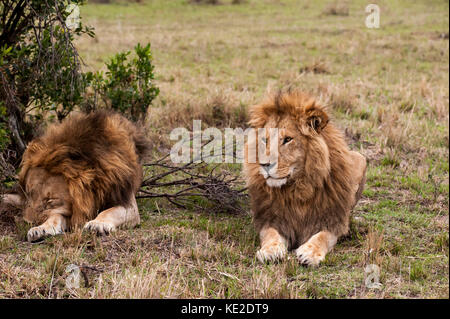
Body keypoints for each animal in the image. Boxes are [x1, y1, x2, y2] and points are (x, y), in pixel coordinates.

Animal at [0, 110, 150, 242]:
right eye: (30, 194)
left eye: (50, 200)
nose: (27, 222)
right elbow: (54, 217)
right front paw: (40, 229)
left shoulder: (128, 203)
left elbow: (110, 211)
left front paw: (97, 224)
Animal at [244, 90, 368, 268]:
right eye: (264, 140)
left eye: (288, 139)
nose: (264, 164)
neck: (299, 187)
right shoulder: (271, 218)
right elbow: (271, 234)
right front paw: (270, 251)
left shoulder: (333, 220)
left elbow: (322, 236)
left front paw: (310, 253)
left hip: (360, 158)